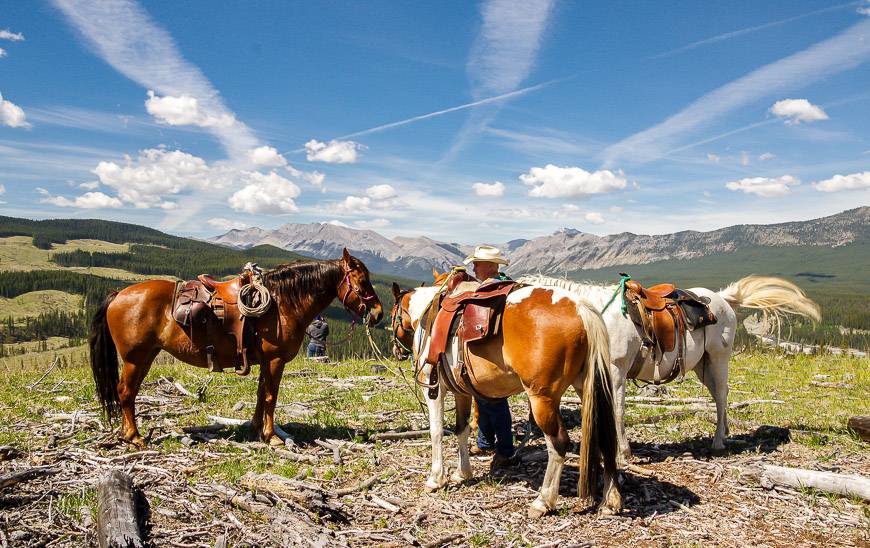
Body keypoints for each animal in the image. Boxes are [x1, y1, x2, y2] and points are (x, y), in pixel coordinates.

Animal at [89, 248, 384, 446]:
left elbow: (261, 394)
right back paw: (135, 436)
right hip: (135, 358)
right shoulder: (275, 360)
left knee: (127, 393)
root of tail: (118, 294)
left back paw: (129, 434)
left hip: (145, 356)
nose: (379, 314)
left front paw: (256, 429)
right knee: (125, 392)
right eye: (362, 281)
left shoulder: (265, 361)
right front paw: (271, 436)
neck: (282, 303)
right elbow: (271, 397)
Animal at [406, 278, 624, 520]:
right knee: (605, 437)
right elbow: (461, 430)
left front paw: (436, 478)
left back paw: (543, 501)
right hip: (586, 388)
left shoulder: (433, 387)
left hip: (542, 399)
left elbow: (436, 432)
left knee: (558, 443)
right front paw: (463, 473)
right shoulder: (461, 392)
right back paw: (611, 501)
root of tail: (580, 308)